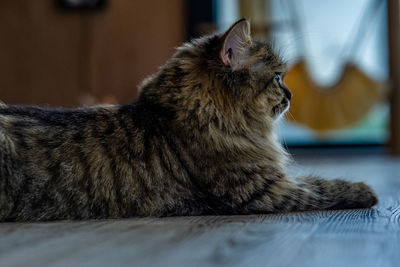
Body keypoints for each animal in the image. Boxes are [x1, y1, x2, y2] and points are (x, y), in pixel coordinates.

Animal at [0, 19, 378, 222]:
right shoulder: (264, 190)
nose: (291, 96)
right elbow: (323, 186)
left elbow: (313, 179)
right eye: (277, 78)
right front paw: (367, 191)